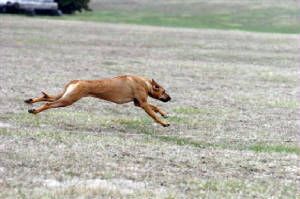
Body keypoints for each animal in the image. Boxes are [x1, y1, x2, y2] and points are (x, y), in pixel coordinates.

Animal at [23, 75, 171, 126]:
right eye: (164, 91)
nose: (170, 98)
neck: (145, 83)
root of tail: (77, 81)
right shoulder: (143, 104)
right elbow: (153, 114)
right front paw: (163, 123)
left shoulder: (138, 103)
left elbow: (156, 108)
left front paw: (164, 114)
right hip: (68, 100)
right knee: (48, 103)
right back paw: (34, 111)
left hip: (64, 96)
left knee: (46, 97)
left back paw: (30, 101)